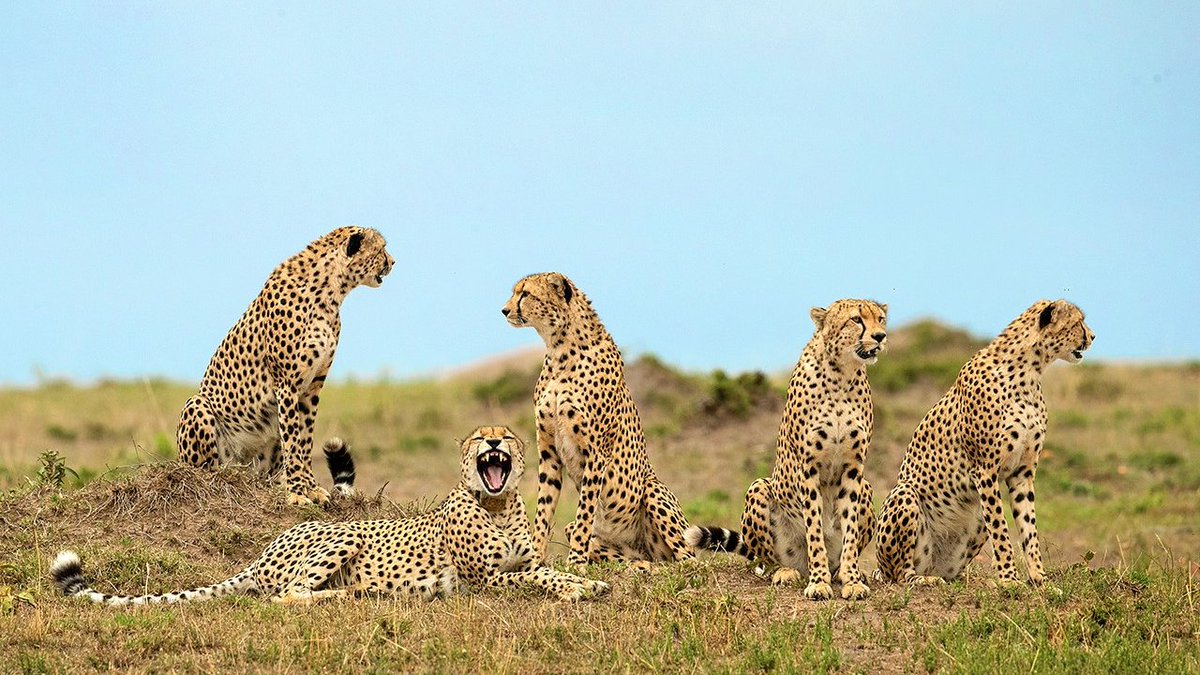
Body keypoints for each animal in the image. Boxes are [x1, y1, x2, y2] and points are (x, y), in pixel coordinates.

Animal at [51, 426, 610, 605]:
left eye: (507, 436)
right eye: (479, 437)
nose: (494, 445)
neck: (496, 503)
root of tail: (263, 552)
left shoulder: (520, 562)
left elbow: (548, 571)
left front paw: (591, 584)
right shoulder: (485, 580)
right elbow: (535, 579)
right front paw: (578, 590)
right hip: (341, 538)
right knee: (287, 597)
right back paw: (349, 594)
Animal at [176, 226, 393, 505]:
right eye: (381, 249)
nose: (393, 262)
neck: (331, 293)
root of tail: (244, 471)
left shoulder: (312, 388)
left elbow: (304, 441)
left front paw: (311, 488)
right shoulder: (286, 385)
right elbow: (293, 441)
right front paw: (297, 492)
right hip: (198, 407)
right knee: (206, 468)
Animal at [502, 272, 693, 569]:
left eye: (526, 294)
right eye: (515, 292)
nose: (504, 310)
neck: (559, 349)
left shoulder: (595, 454)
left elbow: (585, 513)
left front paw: (575, 562)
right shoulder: (549, 454)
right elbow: (544, 511)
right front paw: (536, 558)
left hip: (653, 490)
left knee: (687, 558)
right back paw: (635, 565)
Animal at [687, 299, 888, 601]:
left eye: (881, 319)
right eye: (856, 320)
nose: (880, 336)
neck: (842, 374)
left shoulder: (854, 469)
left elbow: (850, 529)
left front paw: (851, 580)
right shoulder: (809, 468)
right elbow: (814, 529)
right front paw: (818, 582)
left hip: (867, 487)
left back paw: (839, 572)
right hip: (760, 487)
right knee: (767, 559)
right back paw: (787, 571)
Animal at [874, 299, 1094, 587]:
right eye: (1078, 322)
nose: (1093, 337)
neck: (1030, 370)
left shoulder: (1022, 473)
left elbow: (1029, 529)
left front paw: (1040, 580)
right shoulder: (984, 470)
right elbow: (1001, 530)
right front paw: (1009, 580)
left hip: (974, 522)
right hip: (905, 494)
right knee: (899, 575)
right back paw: (922, 580)